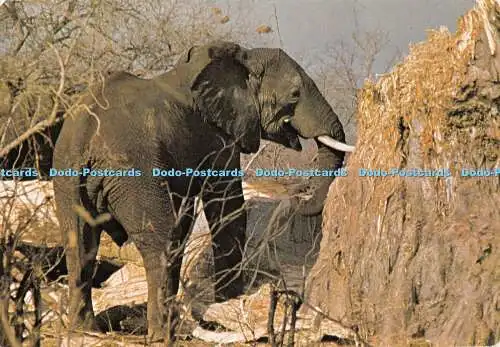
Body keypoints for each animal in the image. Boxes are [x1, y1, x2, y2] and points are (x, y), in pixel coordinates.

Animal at [52, 40, 354, 342]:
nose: (297, 194)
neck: (241, 59)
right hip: (134, 173)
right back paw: (164, 334)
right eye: (294, 94)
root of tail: (85, 139)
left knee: (78, 243)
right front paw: (228, 300)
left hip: (66, 176)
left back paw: (85, 330)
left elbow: (187, 215)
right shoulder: (218, 138)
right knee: (160, 245)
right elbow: (227, 207)